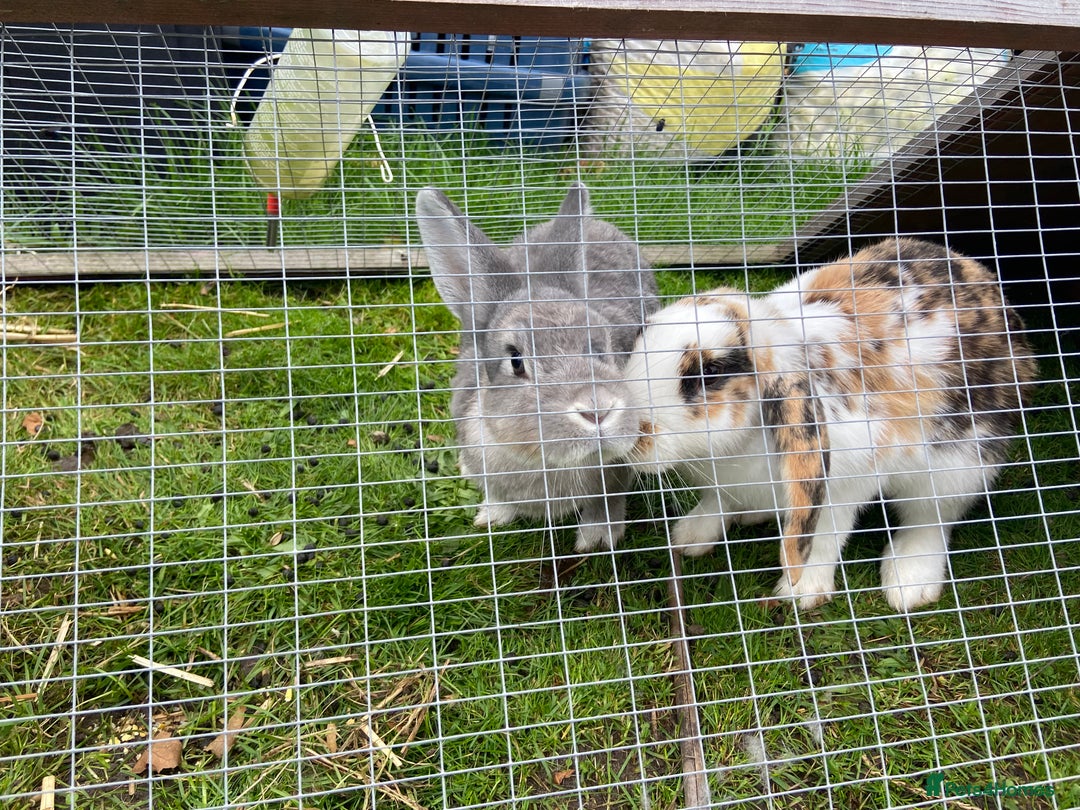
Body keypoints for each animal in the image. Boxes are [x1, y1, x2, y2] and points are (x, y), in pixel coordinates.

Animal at [416, 183, 659, 552]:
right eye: (516, 360)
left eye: (600, 348)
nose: (597, 410)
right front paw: (492, 516)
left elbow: (608, 501)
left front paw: (596, 539)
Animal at [621, 237, 1036, 611]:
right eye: (641, 334)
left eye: (708, 374)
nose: (629, 434)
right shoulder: (727, 485)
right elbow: (717, 500)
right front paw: (687, 537)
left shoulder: (844, 482)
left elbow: (821, 536)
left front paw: (802, 592)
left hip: (958, 466)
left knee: (931, 518)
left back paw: (909, 584)